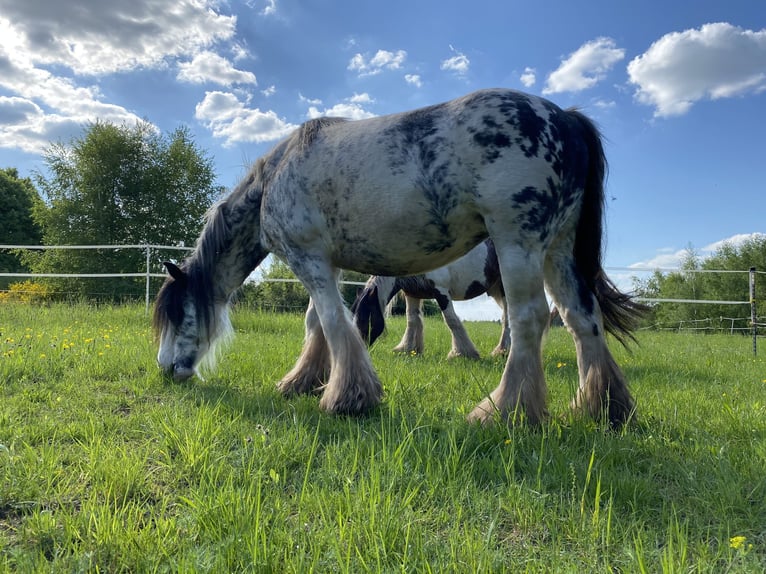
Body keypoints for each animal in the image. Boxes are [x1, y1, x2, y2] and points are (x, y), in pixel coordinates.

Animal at [154, 88, 648, 426]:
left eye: (178, 315)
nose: (164, 370)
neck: (274, 180)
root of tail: (566, 119)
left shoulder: (307, 259)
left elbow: (333, 322)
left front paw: (347, 397)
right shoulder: (325, 262)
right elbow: (316, 323)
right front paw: (303, 380)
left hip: (518, 245)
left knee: (529, 320)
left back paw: (503, 411)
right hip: (558, 251)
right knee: (581, 318)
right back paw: (601, 408)